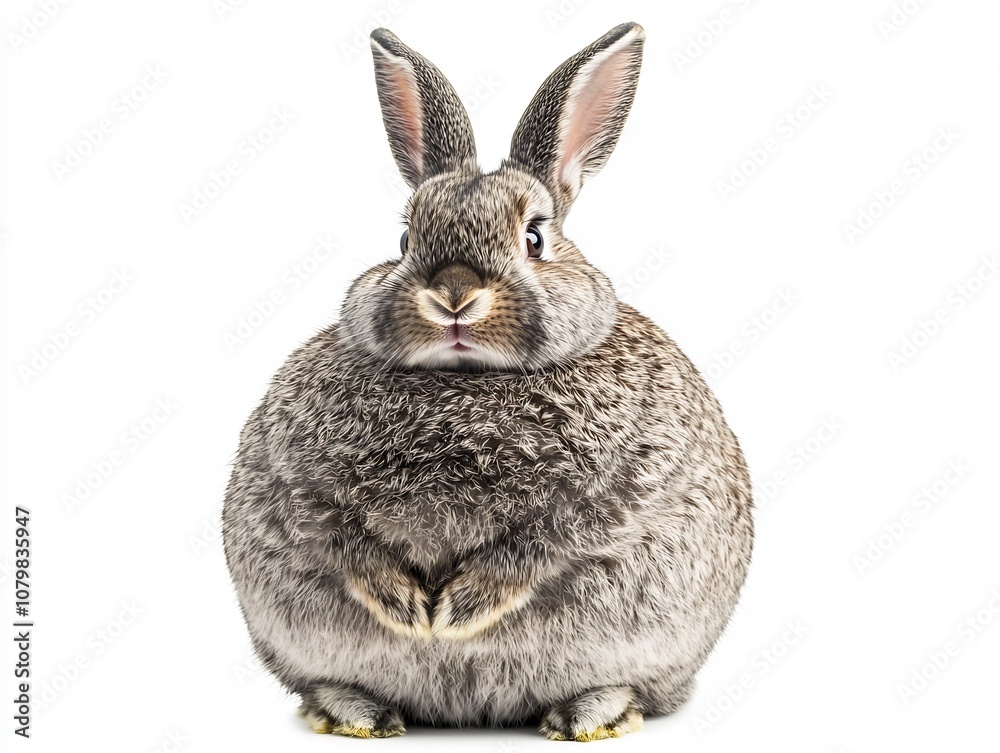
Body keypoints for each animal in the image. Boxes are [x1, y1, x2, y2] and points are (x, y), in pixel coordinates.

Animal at [222, 21, 753, 742]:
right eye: (404, 239)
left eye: (534, 238)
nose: (453, 294)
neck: (467, 377)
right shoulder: (297, 484)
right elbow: (341, 538)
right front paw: (406, 606)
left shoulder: (610, 493)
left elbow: (540, 546)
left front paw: (458, 611)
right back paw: (355, 712)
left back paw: (588, 715)